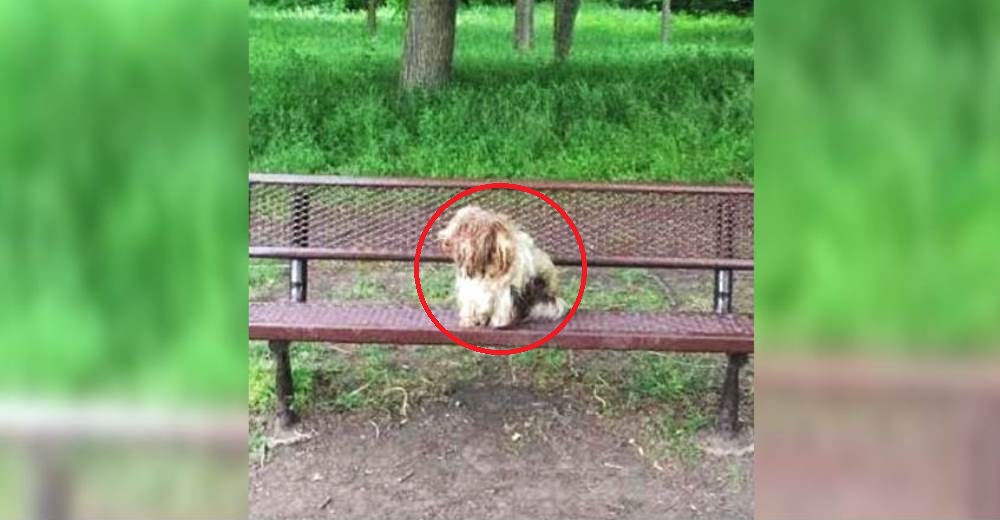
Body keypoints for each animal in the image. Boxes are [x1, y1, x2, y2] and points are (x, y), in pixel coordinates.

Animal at [436, 205, 568, 328]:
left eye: (464, 229)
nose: (443, 240)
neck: (484, 265)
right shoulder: (471, 290)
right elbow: (470, 306)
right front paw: (469, 321)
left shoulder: (506, 291)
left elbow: (501, 306)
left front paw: (498, 322)